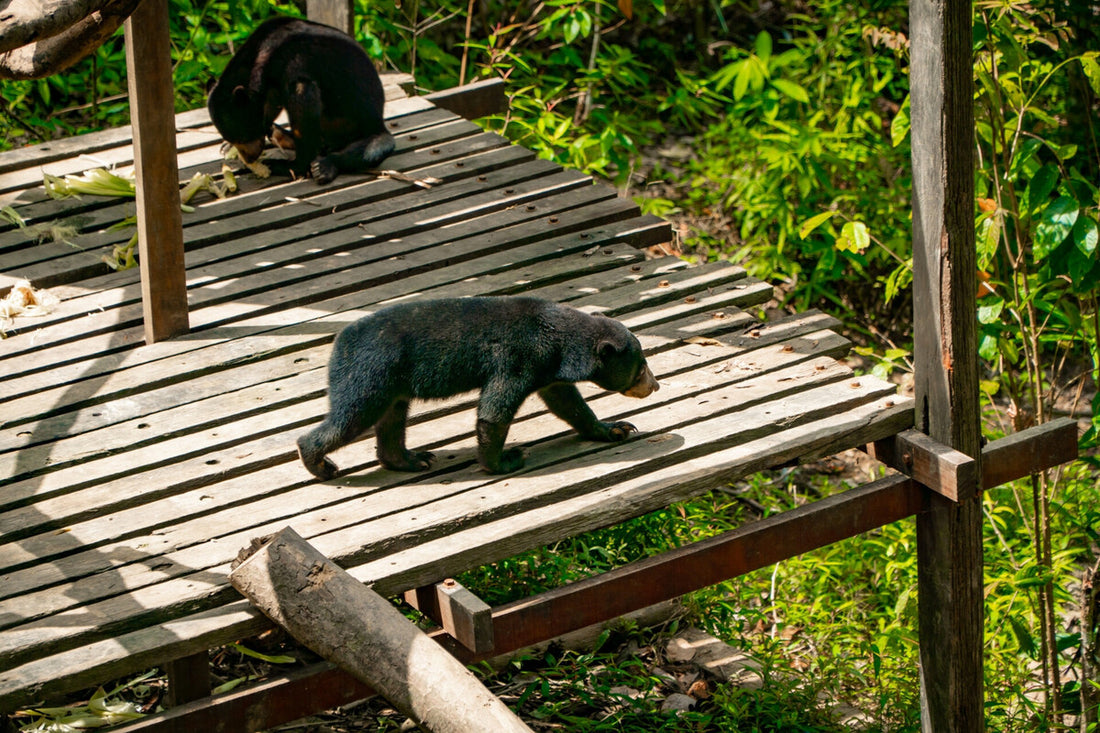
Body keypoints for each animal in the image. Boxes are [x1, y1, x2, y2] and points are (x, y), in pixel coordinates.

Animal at [207, 16, 395, 184]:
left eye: (243, 137)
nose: (249, 158)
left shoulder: (295, 63)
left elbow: (303, 100)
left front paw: (291, 165)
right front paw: (227, 146)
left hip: (359, 123)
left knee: (374, 146)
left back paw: (323, 166)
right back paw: (279, 134)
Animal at [297, 296, 660, 479]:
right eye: (641, 366)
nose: (654, 385)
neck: (557, 337)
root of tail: (339, 343)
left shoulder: (548, 369)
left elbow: (566, 401)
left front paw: (615, 428)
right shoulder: (520, 355)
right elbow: (494, 411)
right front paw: (504, 460)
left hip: (391, 383)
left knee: (392, 418)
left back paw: (410, 459)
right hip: (370, 371)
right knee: (351, 416)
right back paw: (320, 463)